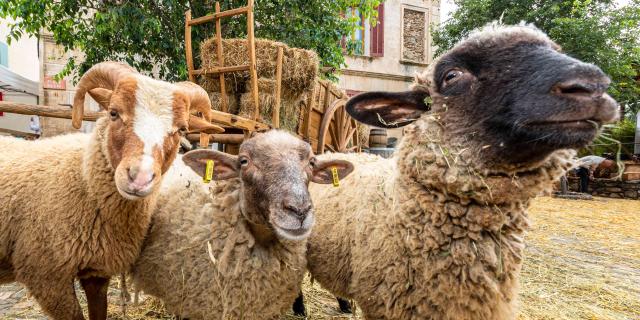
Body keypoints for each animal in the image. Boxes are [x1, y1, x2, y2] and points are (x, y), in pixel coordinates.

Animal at [0, 60, 225, 320]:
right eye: (114, 113)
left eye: (181, 129)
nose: (140, 178)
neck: (83, 180)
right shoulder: (46, 278)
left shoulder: (96, 271)